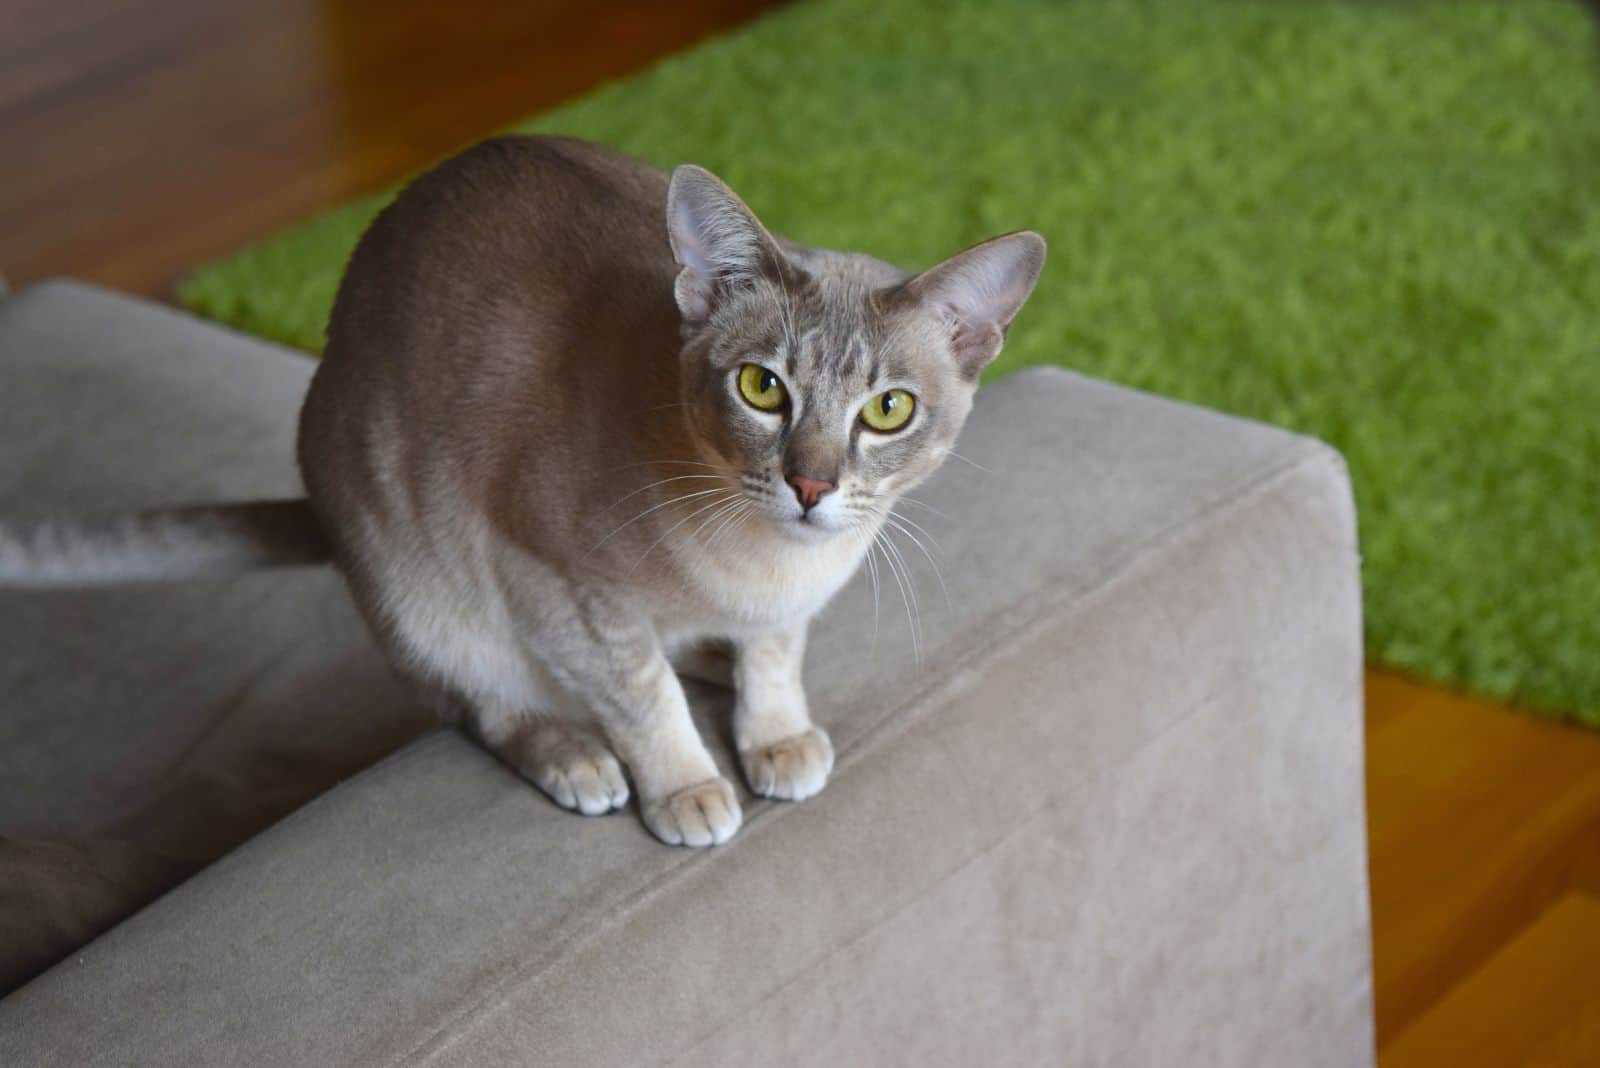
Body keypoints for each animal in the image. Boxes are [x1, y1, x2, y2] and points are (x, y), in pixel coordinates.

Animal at [0, 137, 1043, 844]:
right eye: (761, 388)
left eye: (889, 410)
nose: (812, 484)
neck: (766, 563)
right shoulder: (555, 586)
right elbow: (639, 696)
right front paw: (685, 787)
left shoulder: (777, 614)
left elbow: (773, 661)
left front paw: (773, 736)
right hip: (415, 582)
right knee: (485, 702)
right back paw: (580, 758)